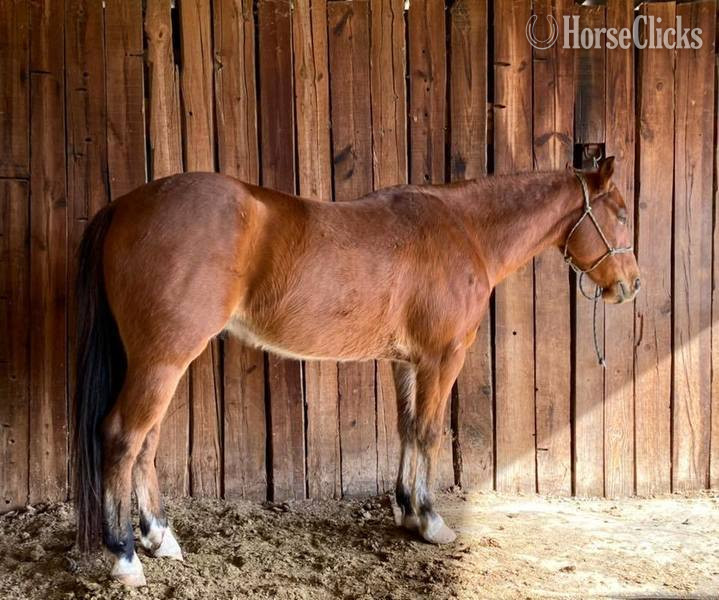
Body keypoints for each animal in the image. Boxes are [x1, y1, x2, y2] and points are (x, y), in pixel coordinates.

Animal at [73, 156, 640, 586]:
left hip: (158, 361)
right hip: (162, 360)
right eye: (621, 213)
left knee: (146, 444)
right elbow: (430, 432)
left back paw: (159, 538)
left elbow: (408, 429)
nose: (631, 285)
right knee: (123, 437)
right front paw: (432, 522)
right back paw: (125, 558)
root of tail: (123, 205)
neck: (465, 231)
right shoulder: (443, 358)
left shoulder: (406, 362)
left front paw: (406, 510)